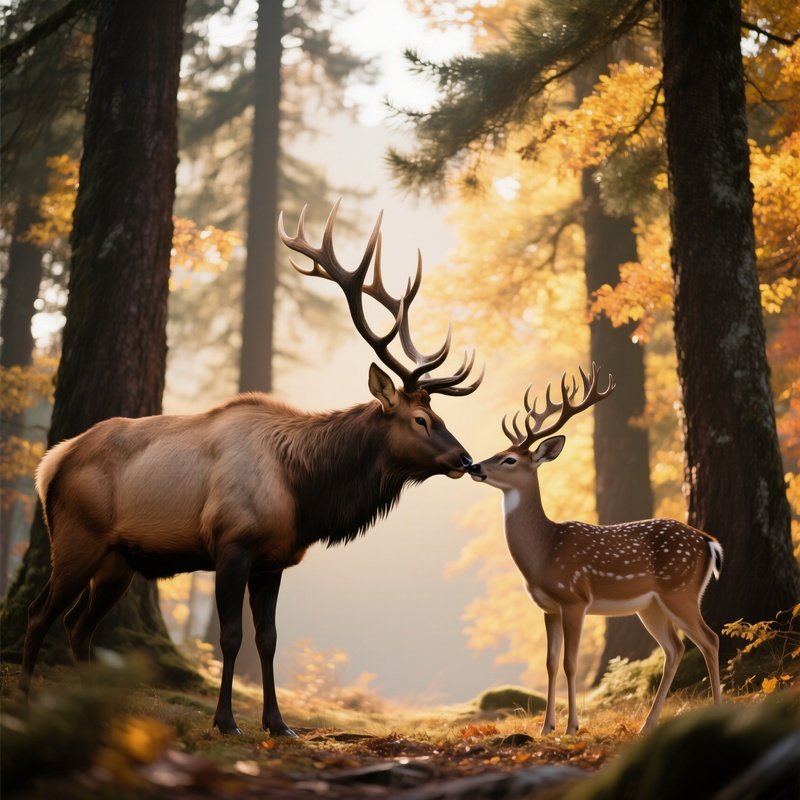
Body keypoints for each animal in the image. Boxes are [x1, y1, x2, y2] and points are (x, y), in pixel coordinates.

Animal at [20, 200, 483, 736]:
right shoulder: (231, 544)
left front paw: (277, 722)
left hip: (118, 560)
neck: (303, 492)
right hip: (78, 538)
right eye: (421, 419)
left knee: (78, 626)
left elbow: (268, 639)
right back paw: (28, 700)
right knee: (39, 613)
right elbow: (230, 636)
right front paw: (226, 720)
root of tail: (52, 463)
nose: (466, 458)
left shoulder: (273, 559)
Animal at [468, 363, 722, 735]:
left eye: (510, 459)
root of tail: (708, 541)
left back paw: (717, 708)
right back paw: (647, 724)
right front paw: (546, 728)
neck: (543, 551)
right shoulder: (547, 607)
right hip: (651, 605)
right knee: (675, 648)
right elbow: (550, 663)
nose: (474, 466)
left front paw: (572, 726)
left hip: (681, 590)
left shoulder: (574, 598)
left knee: (709, 639)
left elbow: (570, 663)